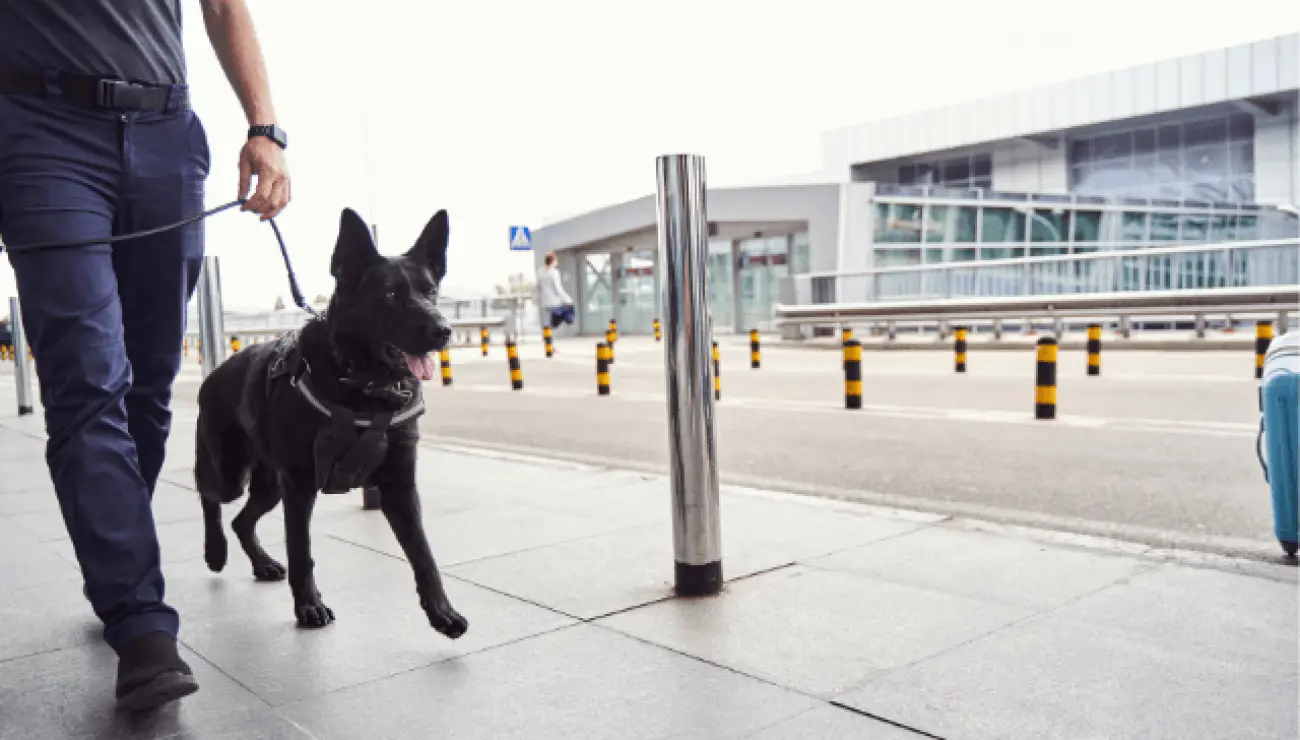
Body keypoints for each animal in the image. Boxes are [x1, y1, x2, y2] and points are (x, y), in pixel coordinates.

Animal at [195, 205, 470, 637]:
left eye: (430, 292)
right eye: (390, 294)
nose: (444, 331)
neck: (362, 384)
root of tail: (214, 373)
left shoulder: (400, 488)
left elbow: (423, 554)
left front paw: (441, 612)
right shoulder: (299, 485)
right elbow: (301, 550)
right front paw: (309, 606)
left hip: (270, 487)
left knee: (242, 521)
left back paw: (262, 563)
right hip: (231, 475)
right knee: (209, 495)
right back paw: (215, 551)